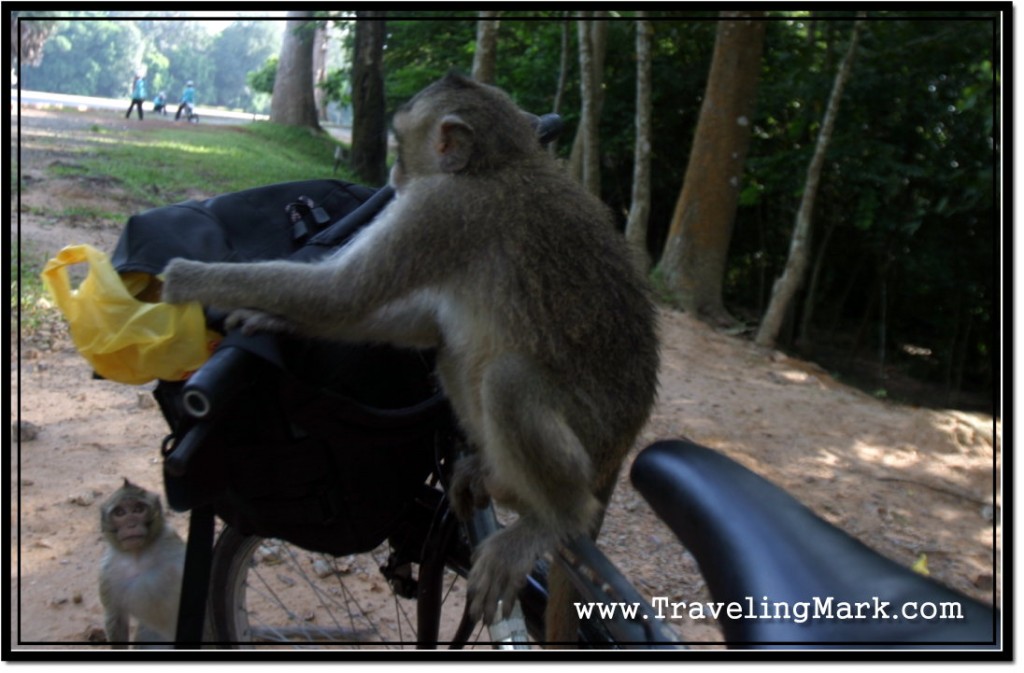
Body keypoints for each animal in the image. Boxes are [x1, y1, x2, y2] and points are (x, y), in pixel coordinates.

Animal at [98, 477, 185, 647]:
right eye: (120, 513)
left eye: (138, 509)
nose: (131, 525)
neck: (138, 556)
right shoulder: (106, 572)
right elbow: (115, 618)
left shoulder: (172, 545)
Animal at [159, 70, 655, 643]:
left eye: (400, 141)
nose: (392, 170)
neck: (502, 162)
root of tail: (624, 440)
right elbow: (416, 320)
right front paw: (274, 320)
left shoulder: (440, 210)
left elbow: (345, 294)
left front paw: (189, 279)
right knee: (454, 347)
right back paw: (498, 480)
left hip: (589, 436)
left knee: (507, 379)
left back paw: (554, 519)